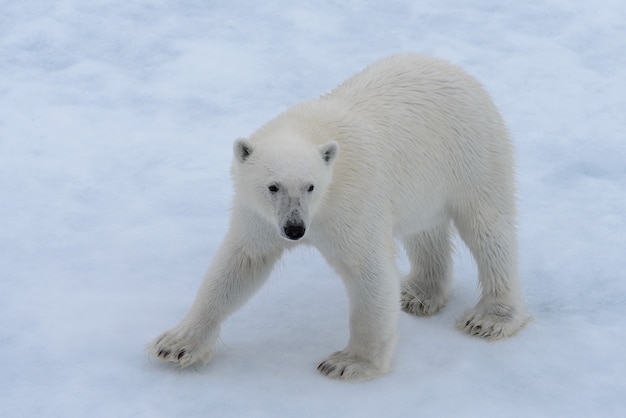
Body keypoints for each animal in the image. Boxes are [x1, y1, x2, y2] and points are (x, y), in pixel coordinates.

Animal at [147, 54, 528, 380]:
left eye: (311, 186)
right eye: (272, 186)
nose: (295, 229)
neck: (311, 131)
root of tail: (454, 69)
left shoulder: (351, 200)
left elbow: (368, 270)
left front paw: (349, 363)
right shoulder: (258, 215)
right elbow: (239, 265)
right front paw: (176, 345)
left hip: (472, 153)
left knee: (488, 229)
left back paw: (490, 318)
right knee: (424, 229)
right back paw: (418, 294)